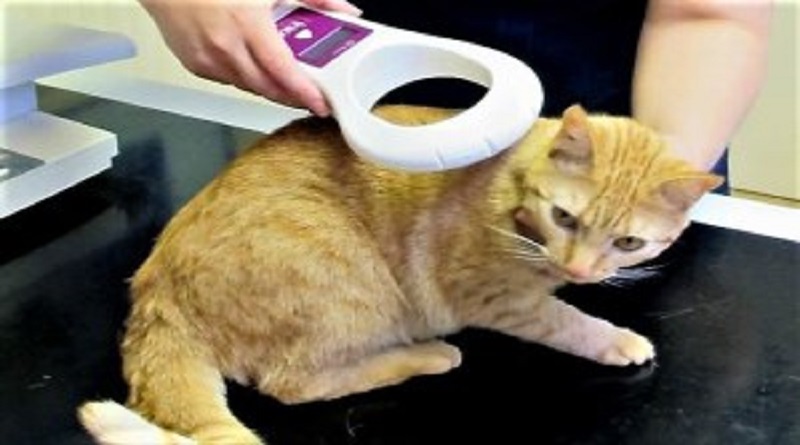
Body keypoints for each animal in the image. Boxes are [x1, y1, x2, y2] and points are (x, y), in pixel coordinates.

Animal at [78, 104, 721, 444]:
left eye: (628, 242)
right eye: (565, 216)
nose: (579, 267)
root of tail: (157, 286)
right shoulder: (499, 297)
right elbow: (567, 322)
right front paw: (615, 339)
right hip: (352, 287)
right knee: (292, 383)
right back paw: (428, 353)